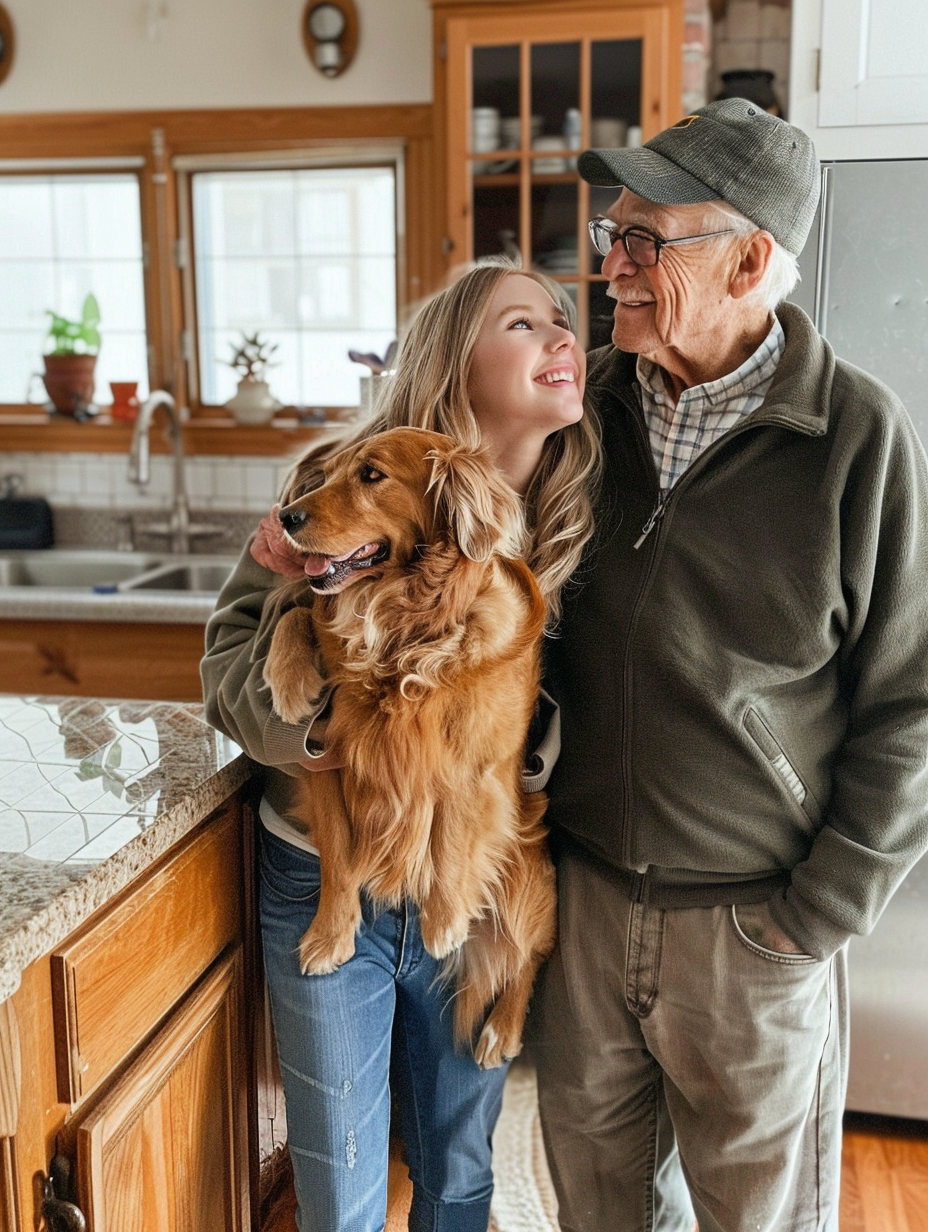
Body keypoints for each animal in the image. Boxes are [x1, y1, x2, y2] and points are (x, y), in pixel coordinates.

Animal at [261, 428, 554, 1064]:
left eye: (371, 475)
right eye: (328, 473)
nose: (286, 516)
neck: (400, 622)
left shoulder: (475, 766)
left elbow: (450, 834)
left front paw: (444, 920)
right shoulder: (326, 763)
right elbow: (339, 859)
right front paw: (329, 935)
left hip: (526, 878)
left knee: (527, 956)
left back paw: (503, 1029)